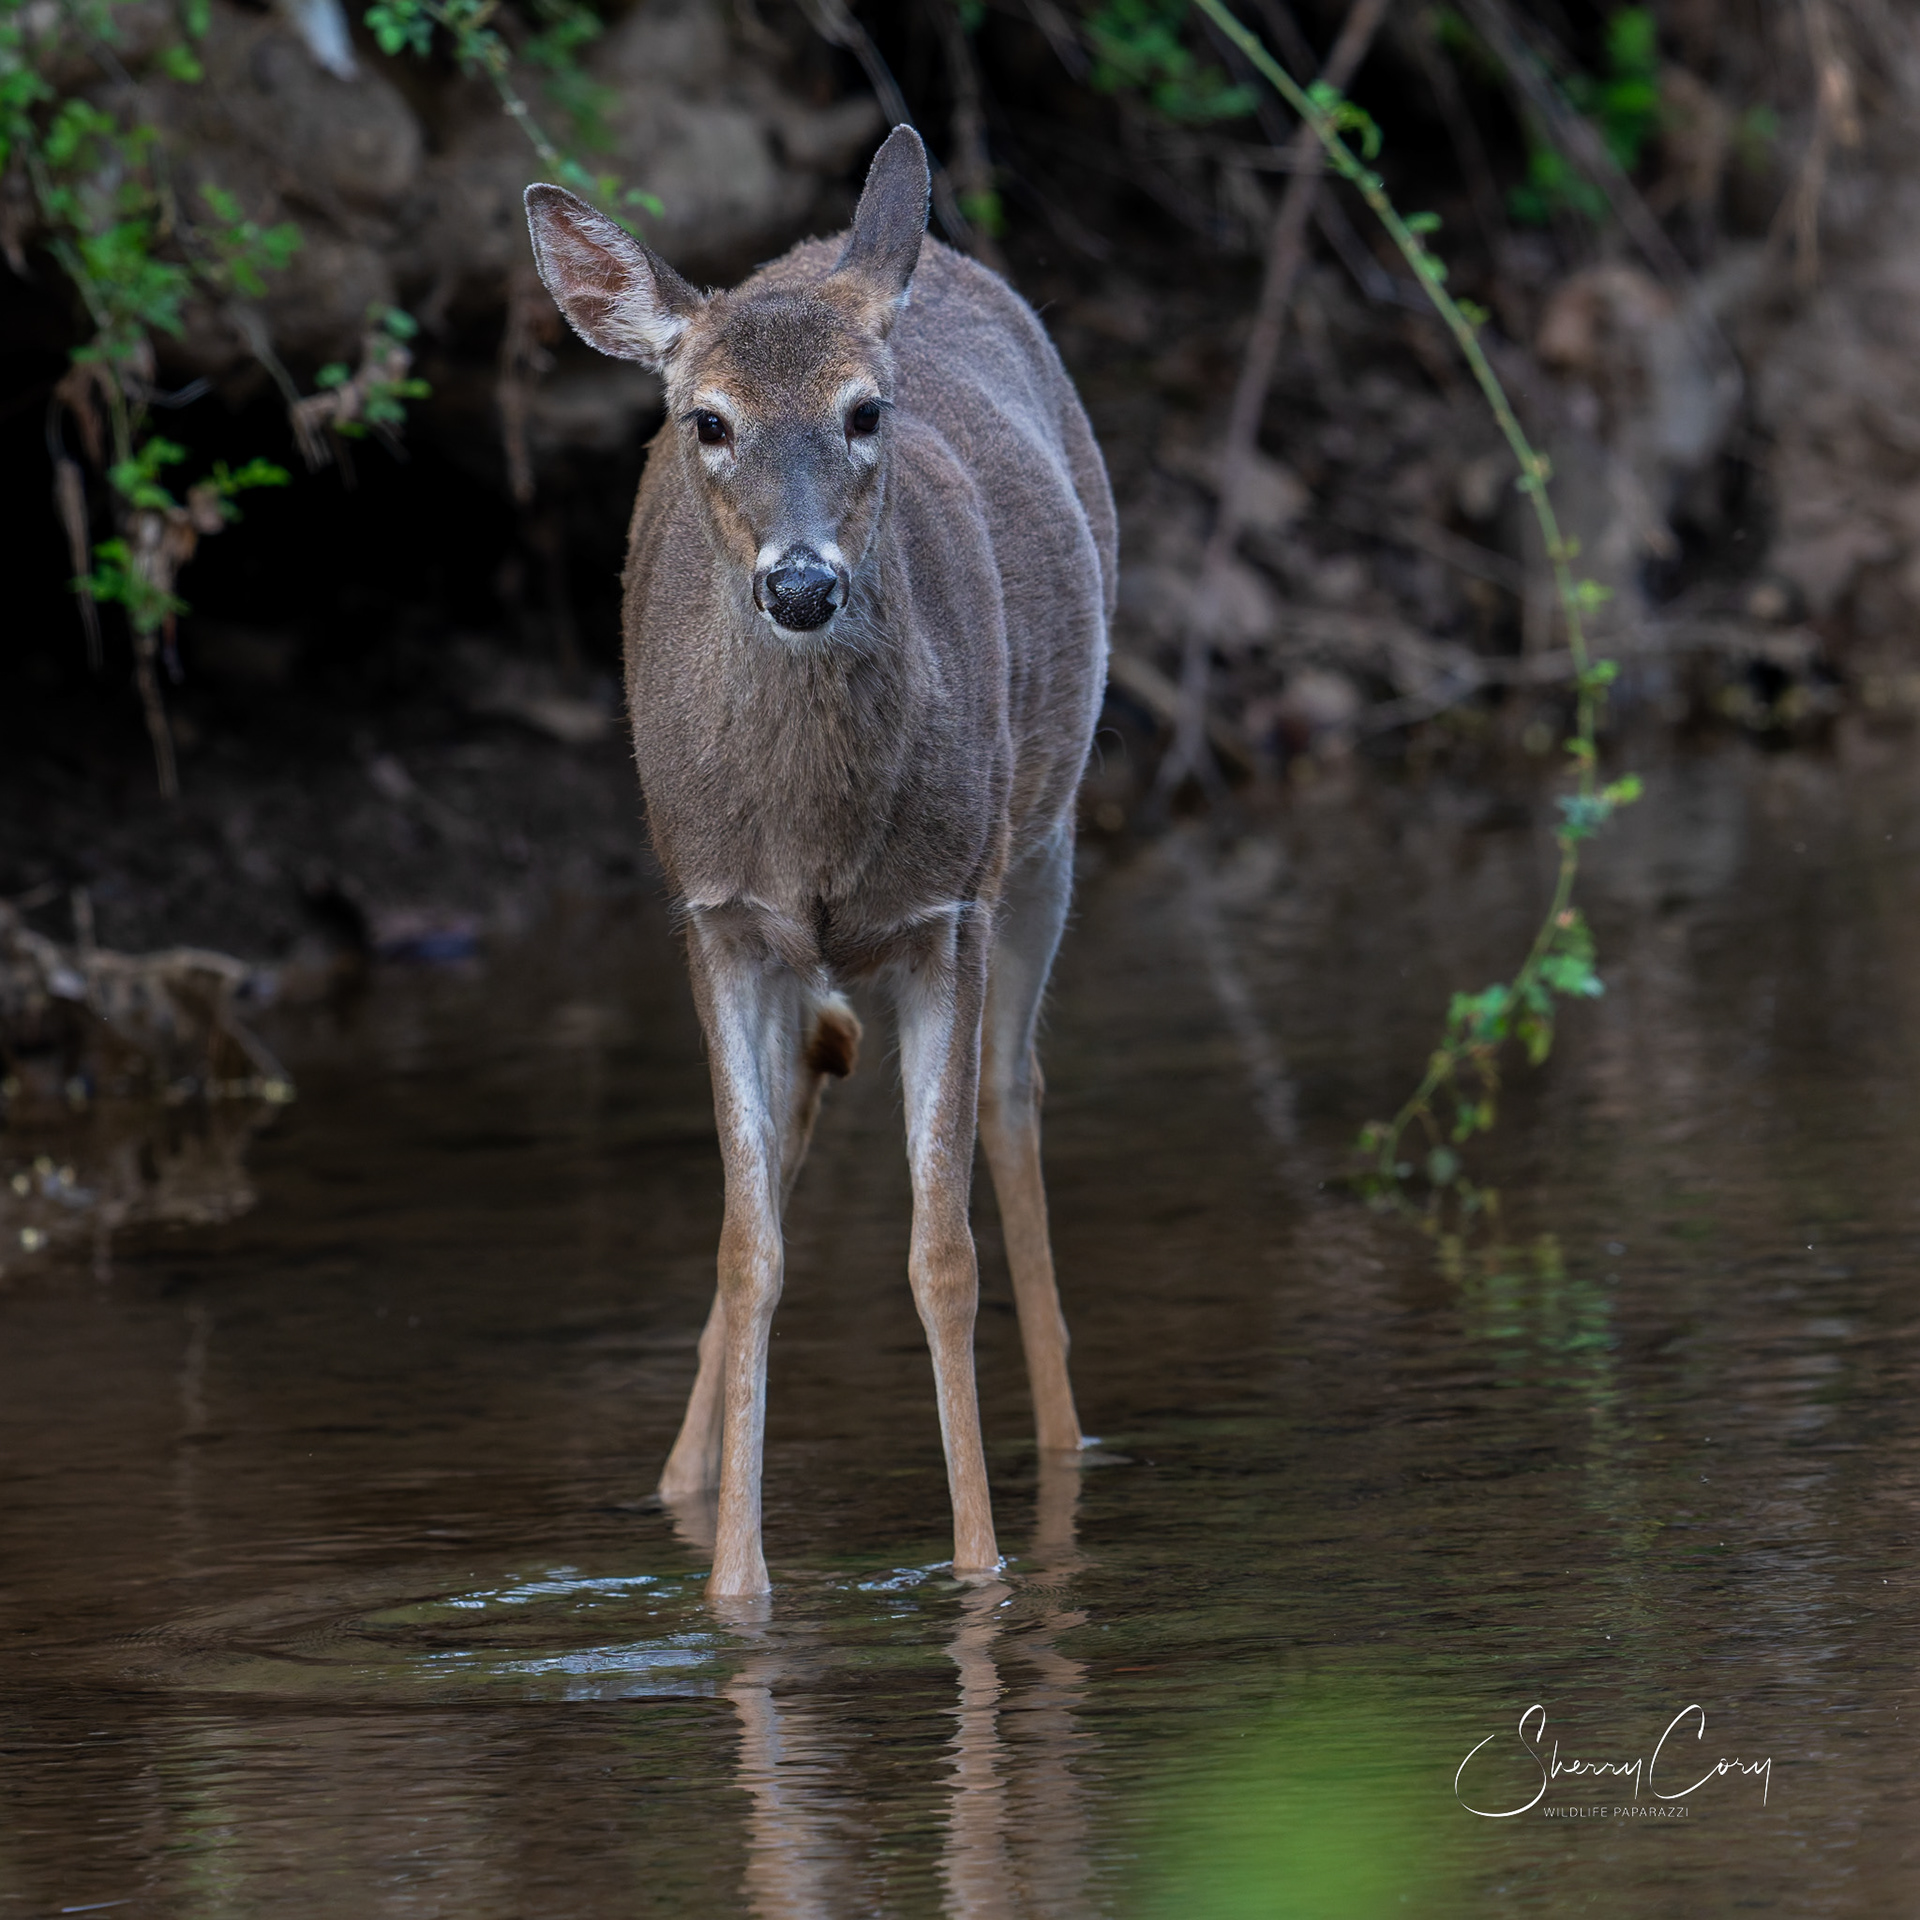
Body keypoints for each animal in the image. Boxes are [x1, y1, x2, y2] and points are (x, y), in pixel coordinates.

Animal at [523, 126, 1115, 1601]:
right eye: (707, 421)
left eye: (864, 412)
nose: (801, 585)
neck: (817, 833)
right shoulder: (719, 919)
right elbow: (749, 1251)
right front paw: (734, 1589)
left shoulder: (945, 908)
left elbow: (943, 1252)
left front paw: (982, 1573)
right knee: (809, 1099)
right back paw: (683, 1478)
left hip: (1045, 832)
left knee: (1015, 1103)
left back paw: (1067, 1451)